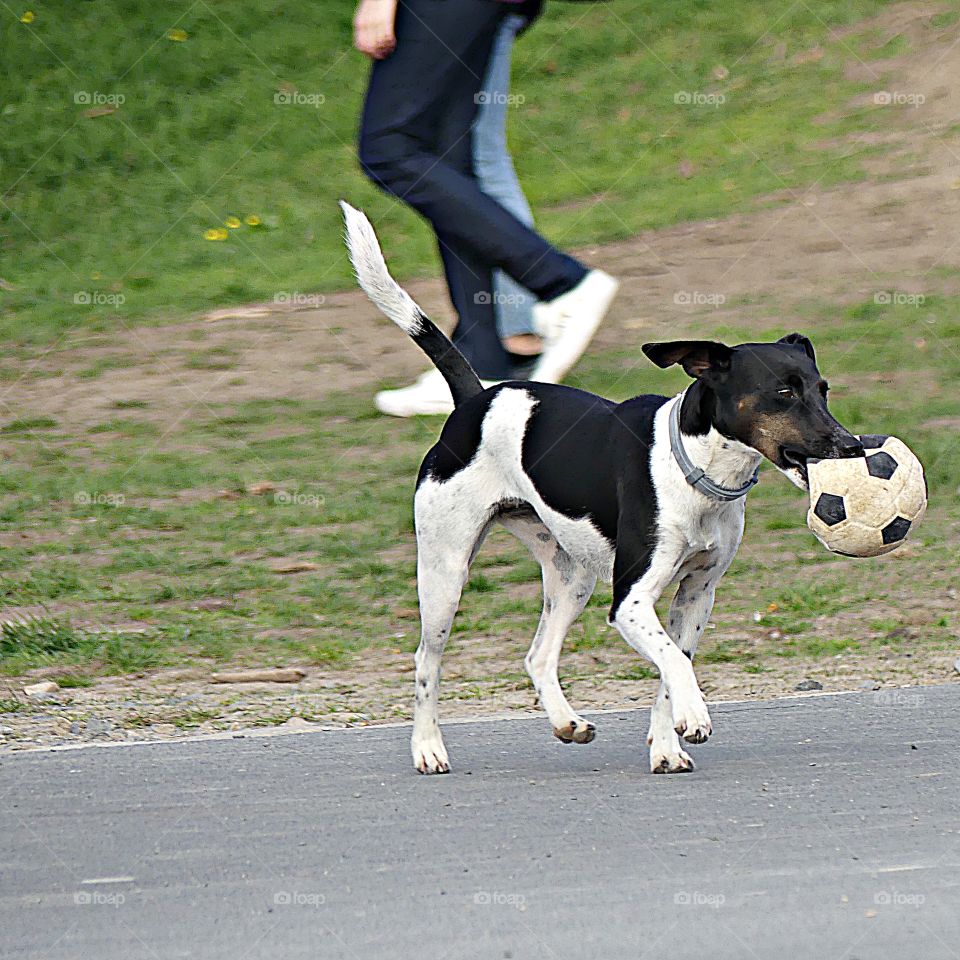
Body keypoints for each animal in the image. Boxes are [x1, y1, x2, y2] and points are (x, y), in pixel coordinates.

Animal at [344, 201, 864, 772]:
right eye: (782, 393)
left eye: (822, 390)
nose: (850, 446)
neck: (694, 470)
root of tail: (473, 401)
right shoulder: (631, 601)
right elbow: (674, 664)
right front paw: (694, 717)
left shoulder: (696, 594)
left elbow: (669, 670)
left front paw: (666, 746)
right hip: (446, 573)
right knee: (426, 661)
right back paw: (428, 748)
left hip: (572, 576)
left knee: (538, 655)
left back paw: (567, 723)